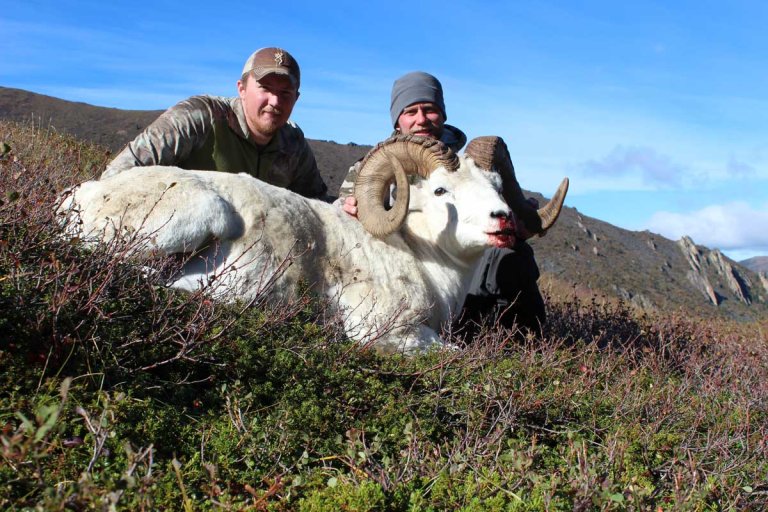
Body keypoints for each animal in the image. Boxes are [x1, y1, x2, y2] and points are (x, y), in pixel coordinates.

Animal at [59, 135, 568, 353]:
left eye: (496, 184)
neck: (423, 262)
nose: (503, 221)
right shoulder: (383, 332)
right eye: (442, 190)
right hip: (201, 215)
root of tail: (78, 198)